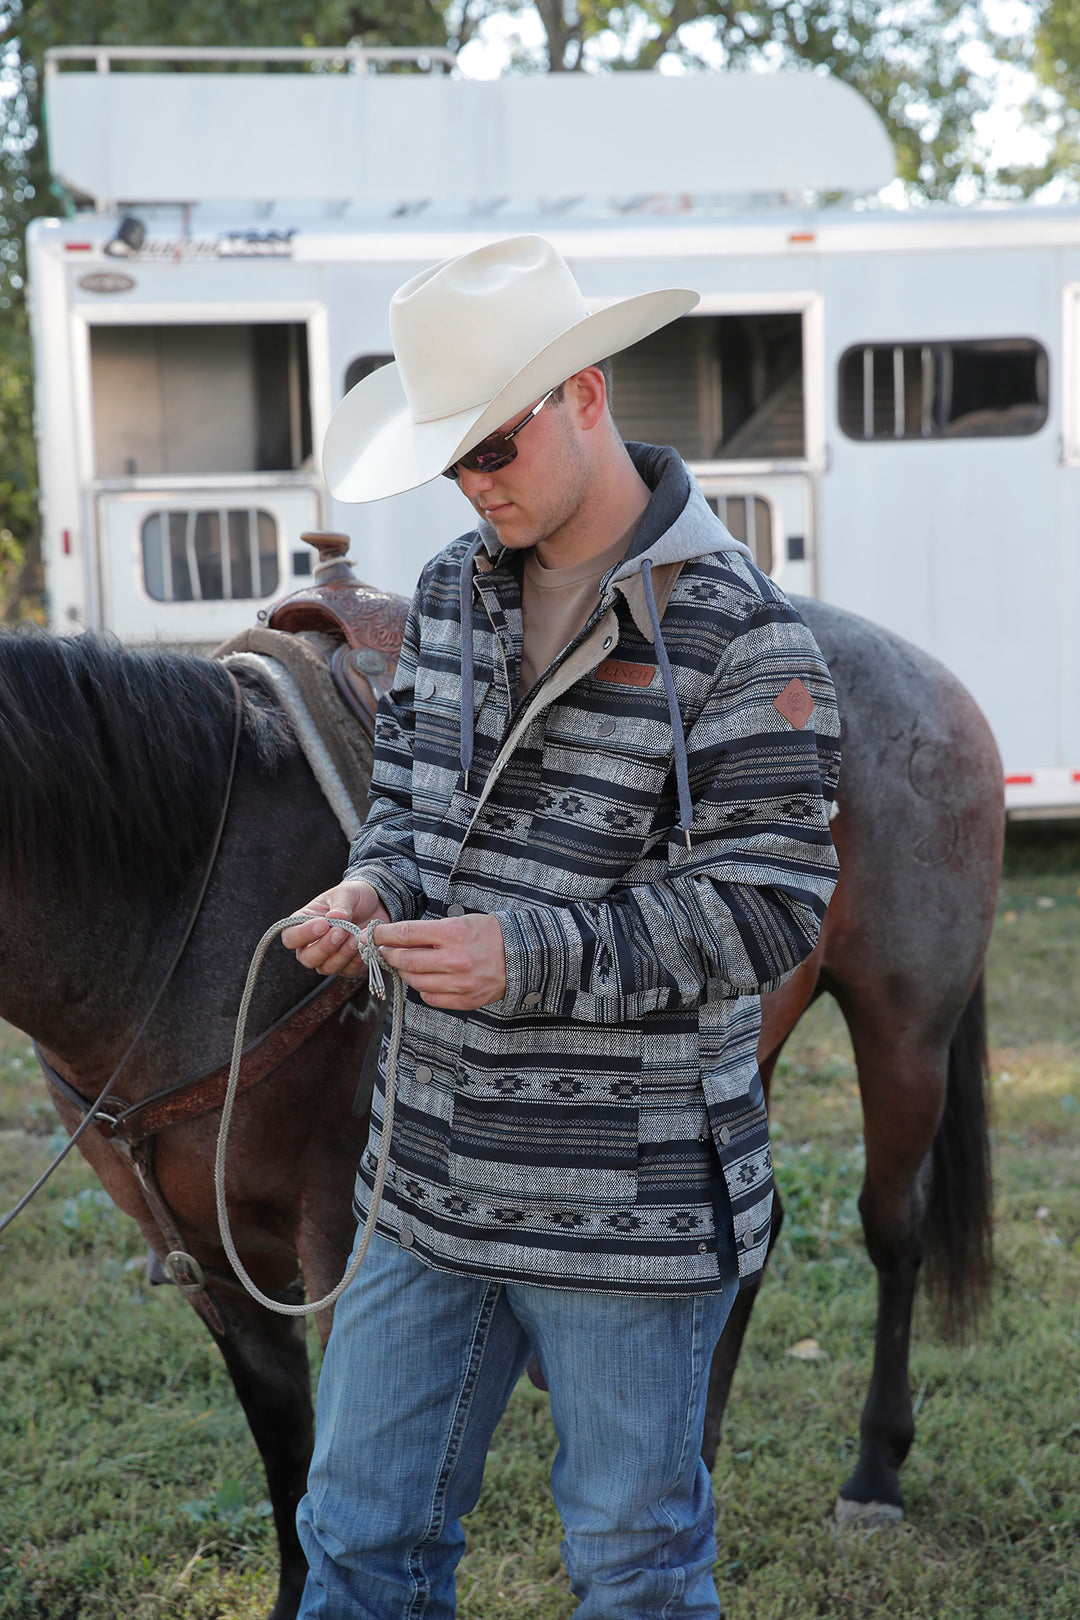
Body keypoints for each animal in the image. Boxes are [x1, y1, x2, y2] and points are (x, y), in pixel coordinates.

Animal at [0, 586, 1003, 1620]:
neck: (183, 913)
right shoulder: (205, 1253)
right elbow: (285, 1437)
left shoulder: (337, 1238)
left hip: (906, 1034)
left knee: (893, 1229)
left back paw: (874, 1476)